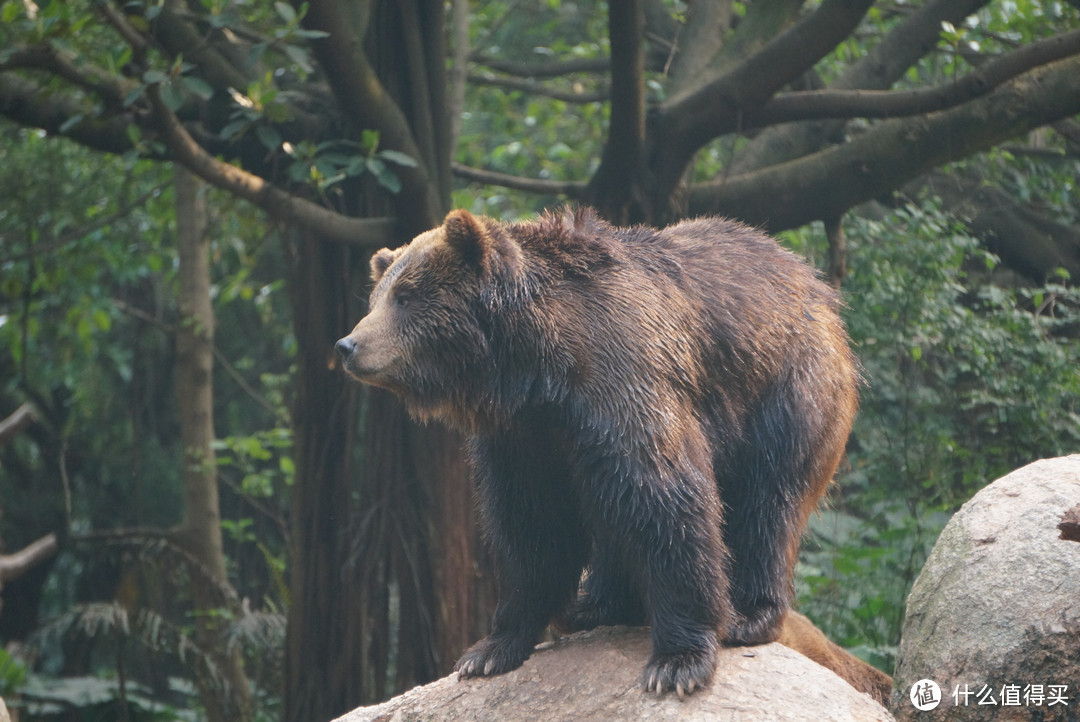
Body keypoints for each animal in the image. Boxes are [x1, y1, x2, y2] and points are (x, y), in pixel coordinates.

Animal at [332, 205, 855, 695]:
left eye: (406, 297)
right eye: (377, 297)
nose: (348, 344)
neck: (536, 367)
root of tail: (811, 280)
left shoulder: (623, 380)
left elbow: (664, 498)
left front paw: (678, 661)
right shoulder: (524, 437)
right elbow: (531, 526)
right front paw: (489, 650)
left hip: (787, 389)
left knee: (768, 500)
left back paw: (749, 614)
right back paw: (593, 607)